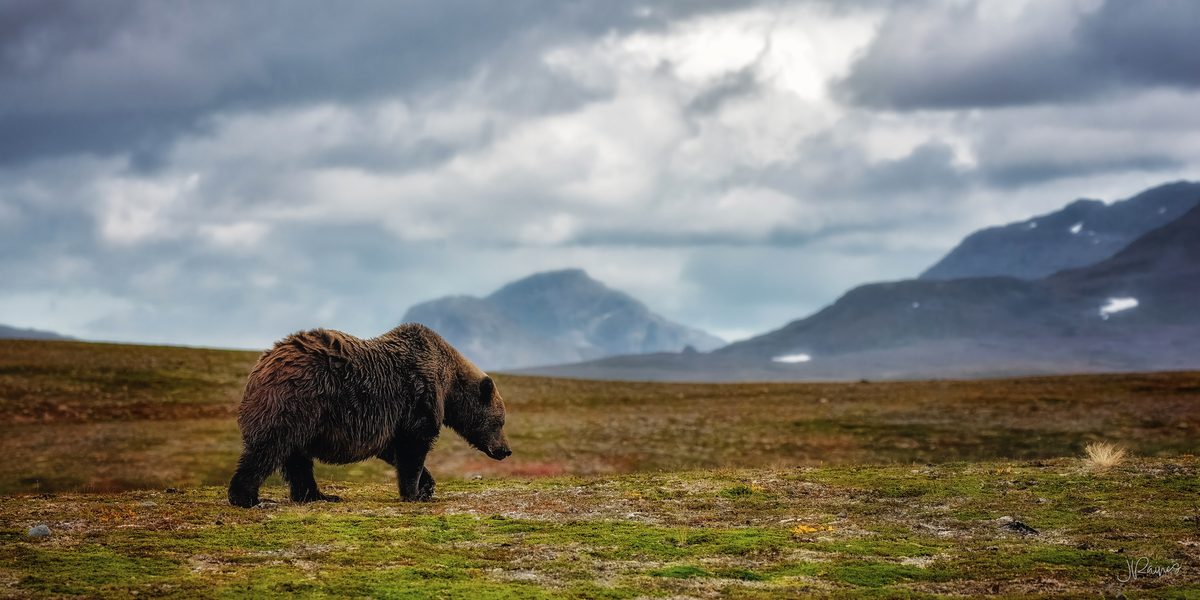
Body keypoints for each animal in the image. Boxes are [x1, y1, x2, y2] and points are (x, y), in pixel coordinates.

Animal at [227, 323, 510, 508]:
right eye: (500, 422)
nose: (505, 450)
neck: (448, 381)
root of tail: (261, 366)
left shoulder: (390, 422)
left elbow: (394, 448)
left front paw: (427, 485)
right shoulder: (419, 396)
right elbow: (413, 445)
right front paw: (414, 492)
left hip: (304, 419)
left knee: (297, 458)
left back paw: (318, 495)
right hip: (296, 402)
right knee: (268, 449)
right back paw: (249, 498)